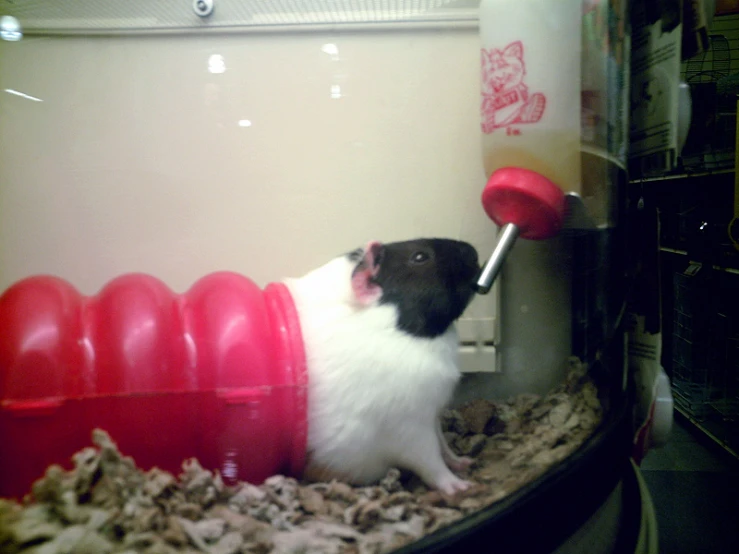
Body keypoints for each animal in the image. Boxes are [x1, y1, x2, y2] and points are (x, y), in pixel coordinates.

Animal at [284, 236, 480, 492]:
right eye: (419, 257)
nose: (474, 252)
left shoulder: (432, 414)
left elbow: (444, 446)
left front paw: (465, 463)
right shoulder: (410, 429)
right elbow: (432, 463)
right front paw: (460, 487)